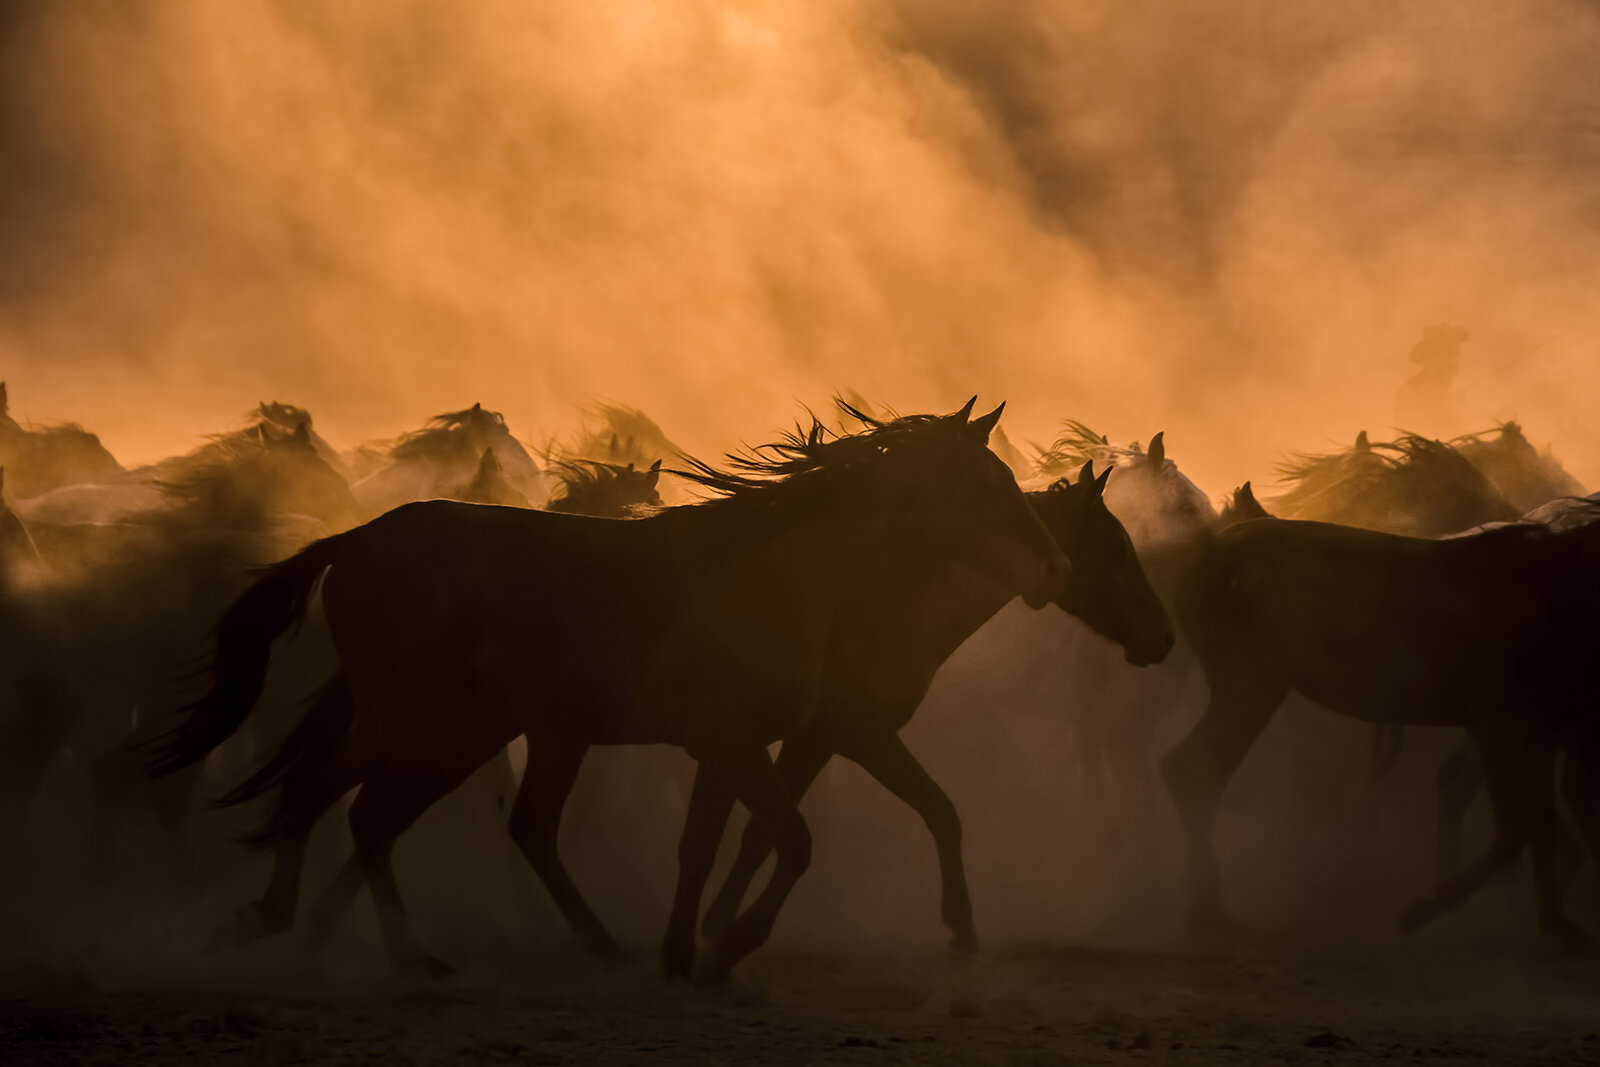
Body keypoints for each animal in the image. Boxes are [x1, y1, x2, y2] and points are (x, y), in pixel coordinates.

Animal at [146, 400, 1069, 981]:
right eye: (982, 484)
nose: (1051, 563)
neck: (777, 576)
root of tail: (359, 538)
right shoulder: (737, 741)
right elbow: (793, 841)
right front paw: (728, 945)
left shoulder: (724, 748)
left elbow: (706, 844)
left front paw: (682, 955)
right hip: (423, 725)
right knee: (354, 806)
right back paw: (384, 950)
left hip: (468, 732)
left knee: (379, 811)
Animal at [698, 451, 1174, 953]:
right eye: (1117, 548)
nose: (1164, 637)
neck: (893, 612)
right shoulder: (850, 736)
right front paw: (721, 923)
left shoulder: (824, 740)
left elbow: (937, 814)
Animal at [1159, 514, 1600, 951]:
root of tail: (1208, 555)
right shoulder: (1502, 729)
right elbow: (1517, 832)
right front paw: (1423, 909)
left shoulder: (1545, 736)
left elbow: (1544, 824)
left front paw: (1558, 924)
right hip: (1251, 689)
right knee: (1193, 770)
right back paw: (1209, 910)